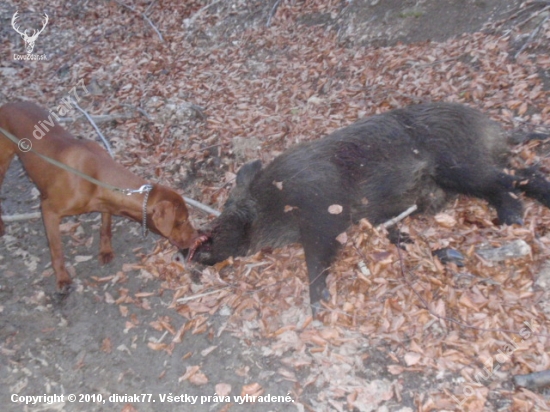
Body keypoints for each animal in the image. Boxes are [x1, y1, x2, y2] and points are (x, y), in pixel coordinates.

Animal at [0, 101, 198, 292]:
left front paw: (105, 252)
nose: (197, 237)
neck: (95, 174)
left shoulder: (106, 204)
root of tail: (7, 104)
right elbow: (56, 250)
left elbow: (105, 229)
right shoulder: (49, 211)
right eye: (181, 221)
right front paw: (62, 278)